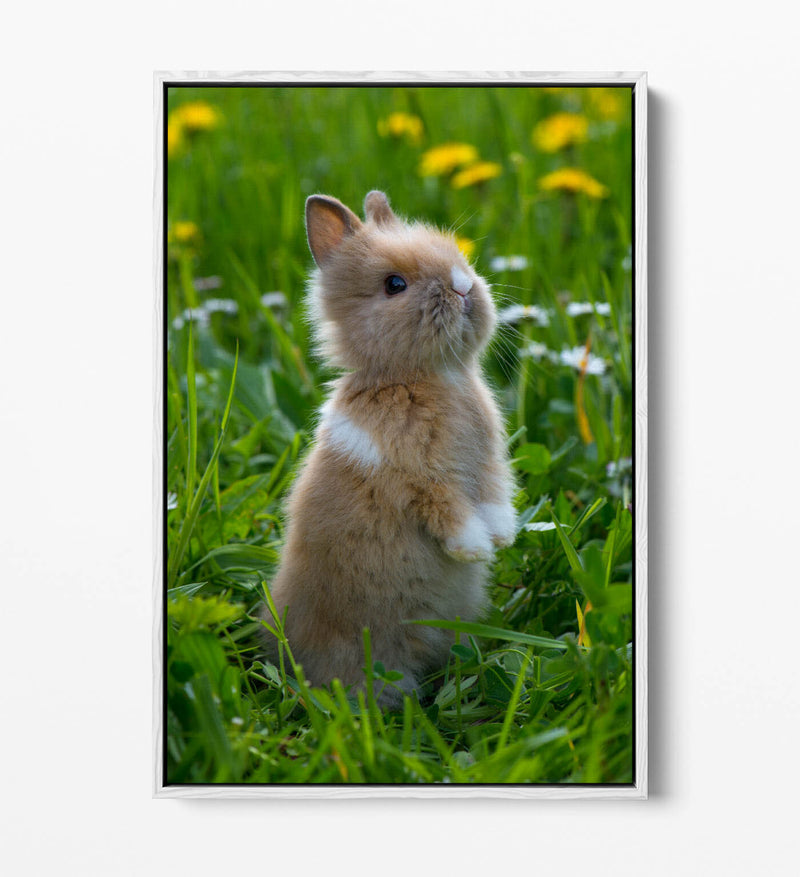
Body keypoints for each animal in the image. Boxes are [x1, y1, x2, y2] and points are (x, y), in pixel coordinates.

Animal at [261, 190, 516, 708]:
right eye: (394, 285)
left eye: (459, 258)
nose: (463, 286)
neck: (427, 376)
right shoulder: (418, 476)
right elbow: (449, 509)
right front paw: (475, 550)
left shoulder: (487, 464)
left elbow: (494, 493)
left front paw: (502, 538)